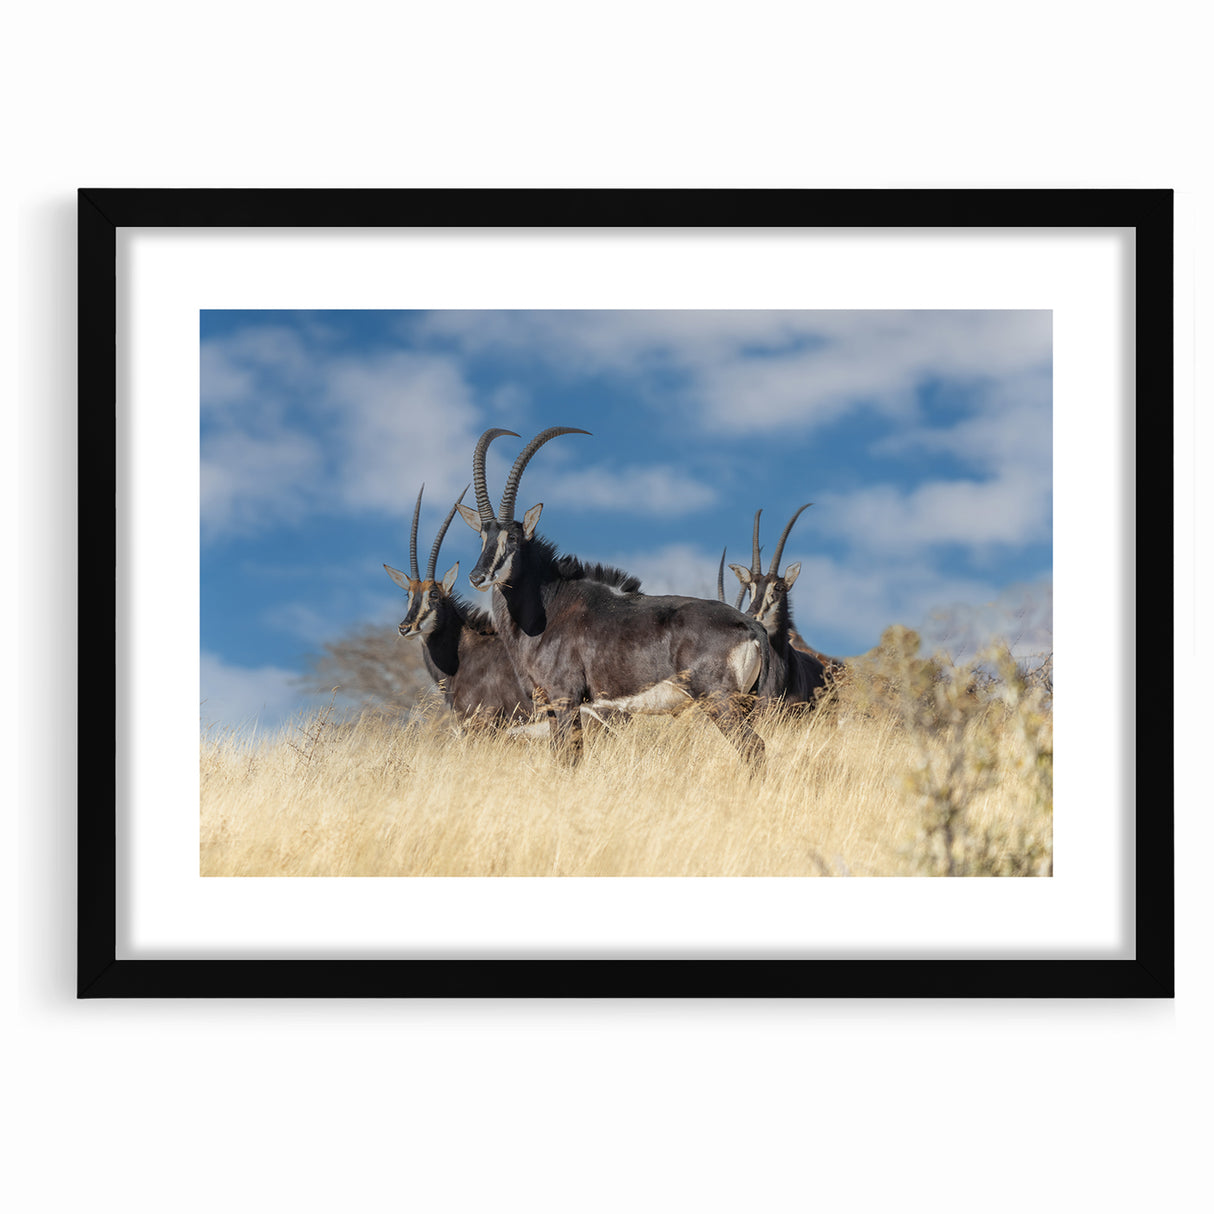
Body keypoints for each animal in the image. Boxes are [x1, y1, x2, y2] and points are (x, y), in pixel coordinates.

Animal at [458, 427, 771, 768]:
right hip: (744, 703)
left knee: (753, 748)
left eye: (513, 537)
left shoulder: (566, 698)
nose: (477, 577)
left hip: (719, 699)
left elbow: (571, 757)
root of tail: (751, 626)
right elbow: (559, 756)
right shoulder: (550, 705)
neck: (549, 607)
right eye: (482, 536)